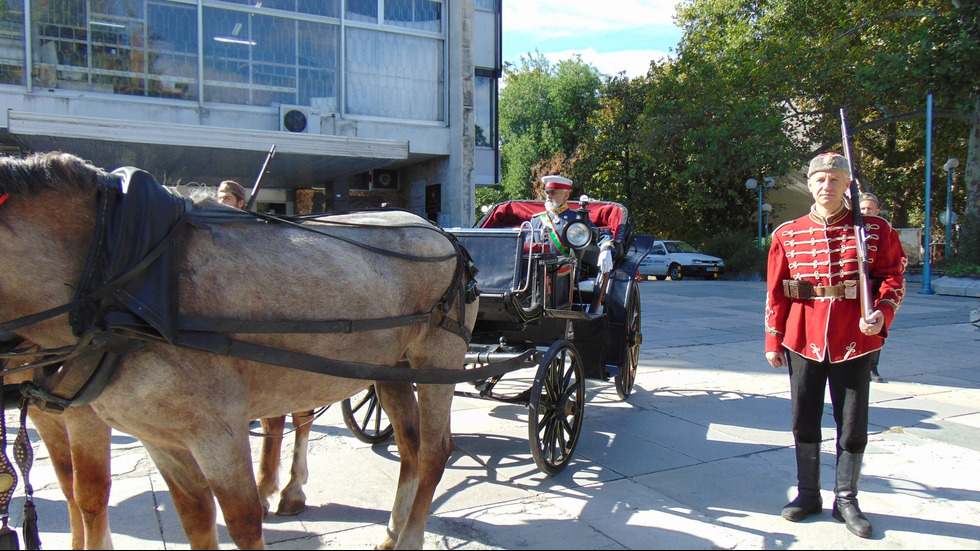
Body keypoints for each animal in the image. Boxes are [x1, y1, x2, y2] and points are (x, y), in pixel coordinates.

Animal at [0, 152, 474, 551]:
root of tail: (443, 235)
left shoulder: (217, 431)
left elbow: (240, 519)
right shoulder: (157, 435)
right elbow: (194, 517)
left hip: (439, 358)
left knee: (434, 451)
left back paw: (409, 536)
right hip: (391, 368)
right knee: (410, 445)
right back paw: (393, 529)